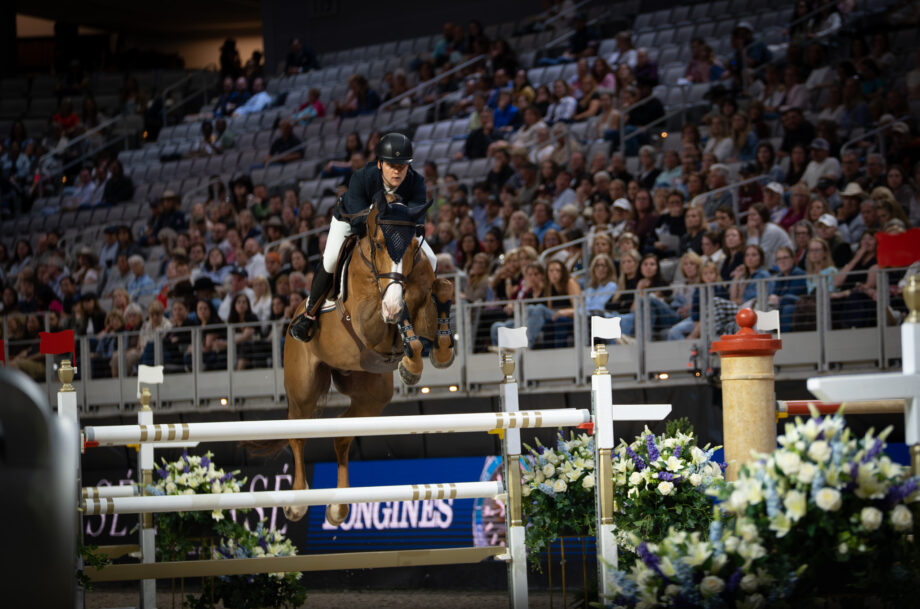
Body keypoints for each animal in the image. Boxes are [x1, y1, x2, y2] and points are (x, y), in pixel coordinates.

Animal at [260, 196, 455, 526]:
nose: (391, 306)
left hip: (371, 394)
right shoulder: (368, 320)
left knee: (341, 434)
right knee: (297, 431)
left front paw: (437, 351)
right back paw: (297, 501)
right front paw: (410, 359)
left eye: (412, 245)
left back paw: (338, 507)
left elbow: (440, 290)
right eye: (378, 244)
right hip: (303, 388)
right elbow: (399, 308)